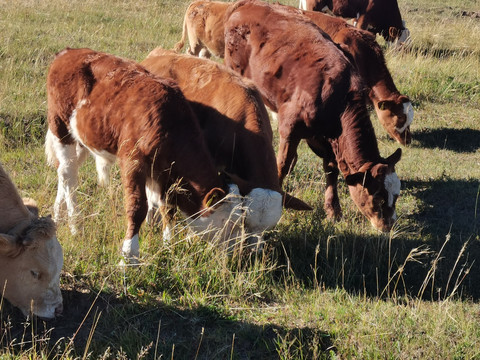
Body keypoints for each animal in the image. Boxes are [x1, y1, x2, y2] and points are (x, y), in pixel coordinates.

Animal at [224, 0, 402, 231]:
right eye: (378, 198)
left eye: (396, 196)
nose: (388, 226)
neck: (338, 98)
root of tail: (247, 4)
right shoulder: (290, 130)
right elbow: (282, 166)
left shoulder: (329, 141)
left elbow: (331, 170)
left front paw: (333, 210)